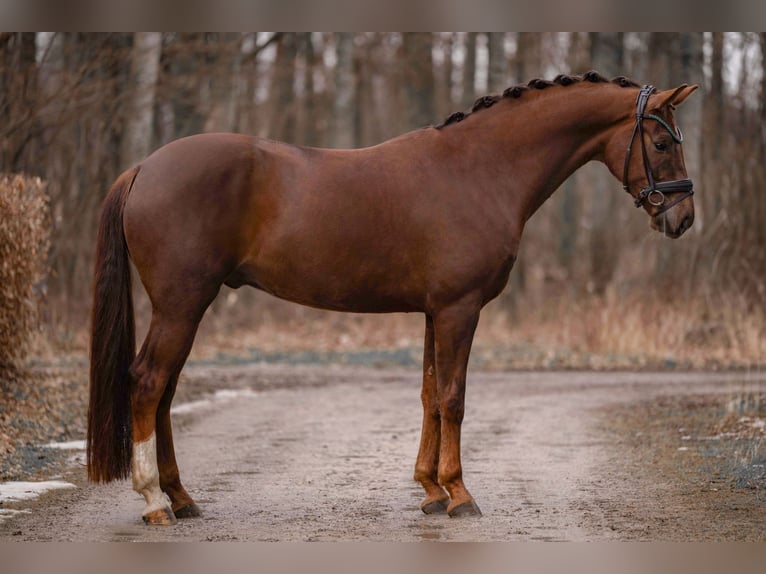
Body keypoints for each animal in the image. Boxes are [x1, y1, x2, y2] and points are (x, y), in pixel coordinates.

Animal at [87, 71, 698, 525]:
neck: (481, 169)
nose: (683, 218)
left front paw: (430, 491)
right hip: (182, 304)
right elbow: (453, 396)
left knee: (164, 392)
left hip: (186, 308)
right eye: (661, 142)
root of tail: (145, 167)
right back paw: (154, 501)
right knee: (148, 383)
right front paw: (460, 495)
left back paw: (182, 498)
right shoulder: (459, 310)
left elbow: (428, 395)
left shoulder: (434, 312)